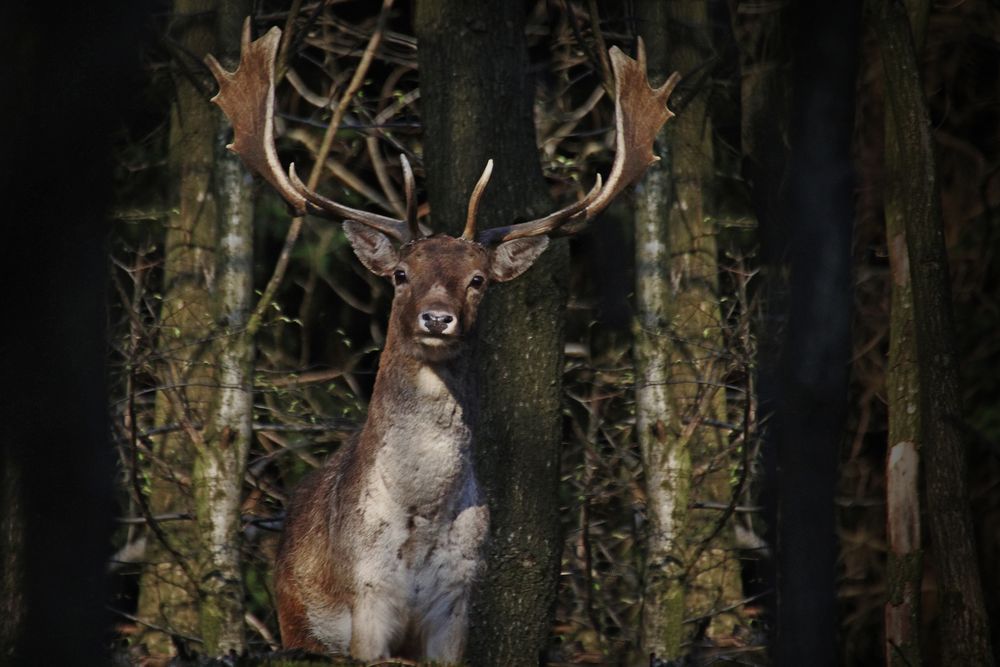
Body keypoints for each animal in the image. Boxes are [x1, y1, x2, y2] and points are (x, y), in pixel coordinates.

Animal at [208, 19, 684, 664]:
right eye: (400, 275)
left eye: (478, 280)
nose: (437, 319)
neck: (421, 519)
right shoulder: (366, 595)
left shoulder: (458, 600)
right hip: (296, 624)